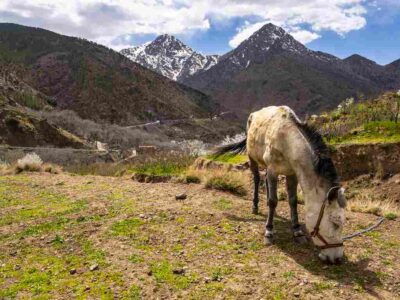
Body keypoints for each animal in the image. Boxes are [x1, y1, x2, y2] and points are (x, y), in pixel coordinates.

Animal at [216, 105, 346, 262]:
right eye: (335, 223)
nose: (338, 259)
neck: (286, 139)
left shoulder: (292, 174)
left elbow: (293, 201)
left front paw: (297, 231)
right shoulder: (273, 170)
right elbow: (273, 201)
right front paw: (269, 232)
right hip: (252, 159)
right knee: (257, 179)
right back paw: (255, 206)